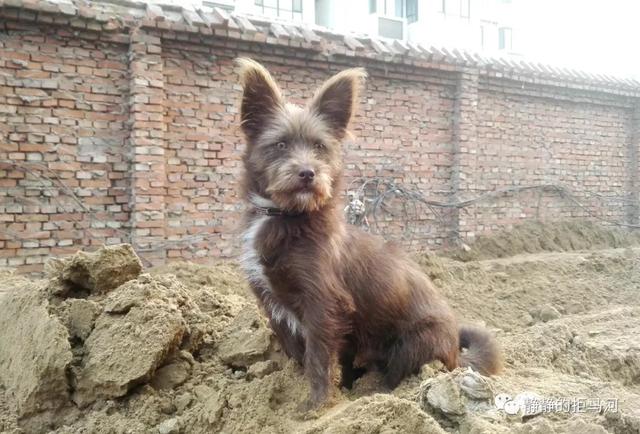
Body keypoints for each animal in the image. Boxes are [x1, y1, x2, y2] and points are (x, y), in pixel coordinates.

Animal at [238, 58, 502, 410]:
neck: (288, 216)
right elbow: (296, 353)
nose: (308, 173)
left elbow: (318, 359)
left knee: (399, 375)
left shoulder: (323, 304)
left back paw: (378, 398)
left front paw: (315, 406)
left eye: (320, 147)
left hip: (414, 343)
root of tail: (456, 358)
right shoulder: (272, 304)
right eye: (280, 145)